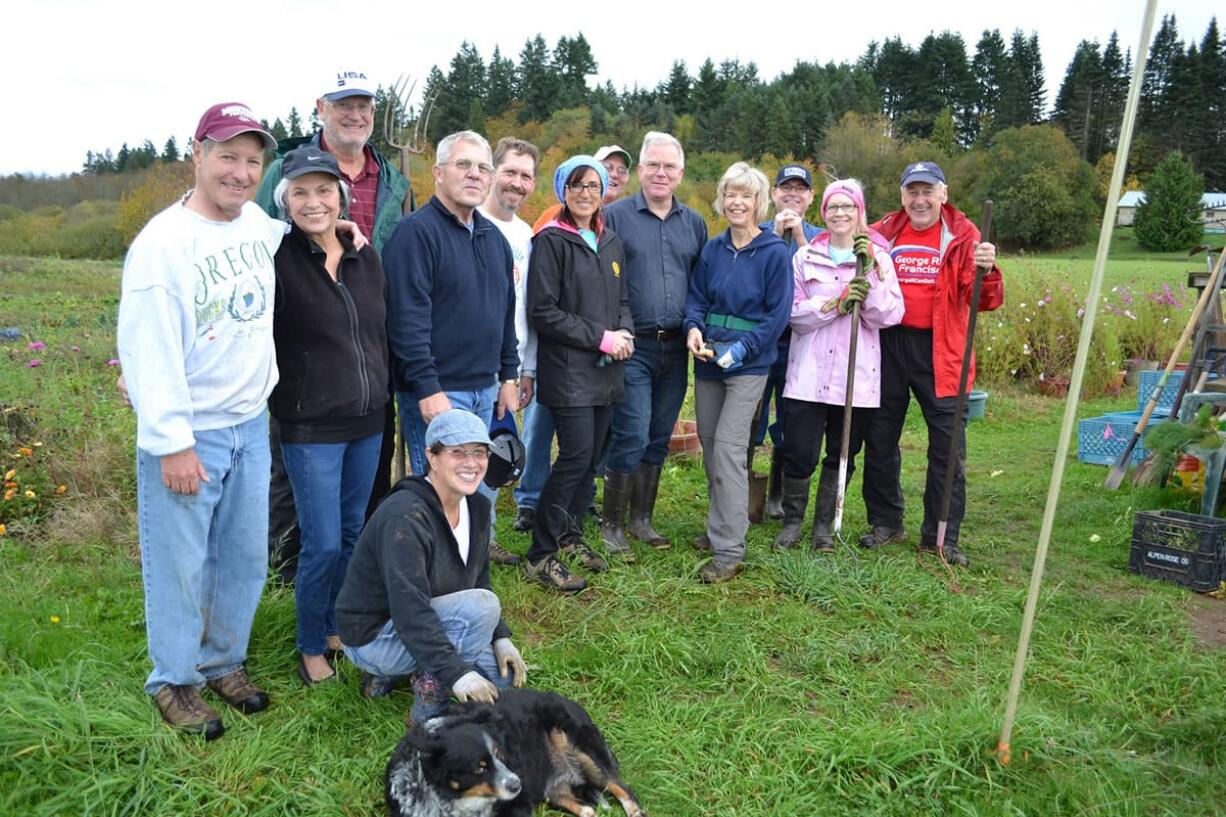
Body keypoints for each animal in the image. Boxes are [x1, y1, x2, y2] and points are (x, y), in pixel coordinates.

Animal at [387, 686, 647, 814]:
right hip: (553, 789)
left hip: (583, 752)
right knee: (586, 810)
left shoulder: (518, 807)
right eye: (479, 768)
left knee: (623, 789)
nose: (518, 784)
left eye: (501, 755)